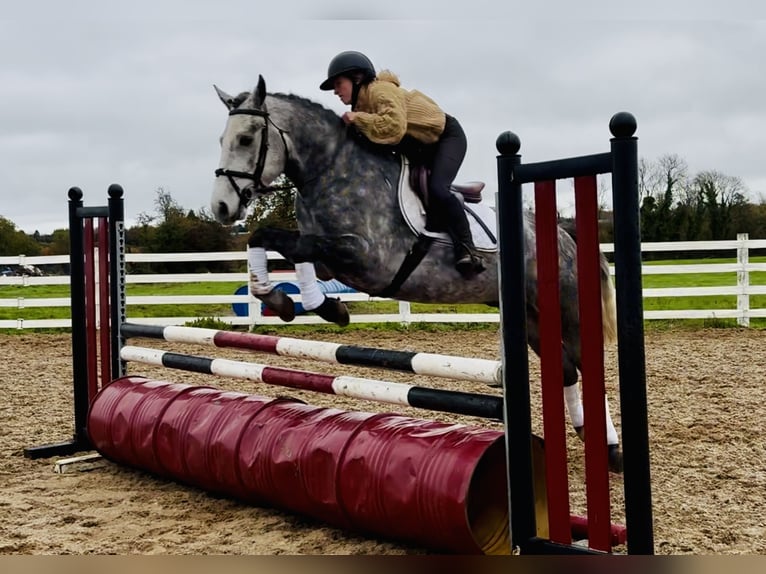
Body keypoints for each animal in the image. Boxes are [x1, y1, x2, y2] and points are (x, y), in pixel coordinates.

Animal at [210, 75, 622, 473]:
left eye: (246, 138)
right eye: (221, 139)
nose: (222, 207)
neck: (333, 171)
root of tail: (565, 237)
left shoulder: (365, 258)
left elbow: (292, 246)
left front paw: (315, 305)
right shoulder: (325, 254)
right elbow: (275, 242)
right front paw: (295, 302)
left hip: (567, 307)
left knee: (585, 365)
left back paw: (612, 450)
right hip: (529, 314)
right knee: (567, 369)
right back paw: (590, 435)